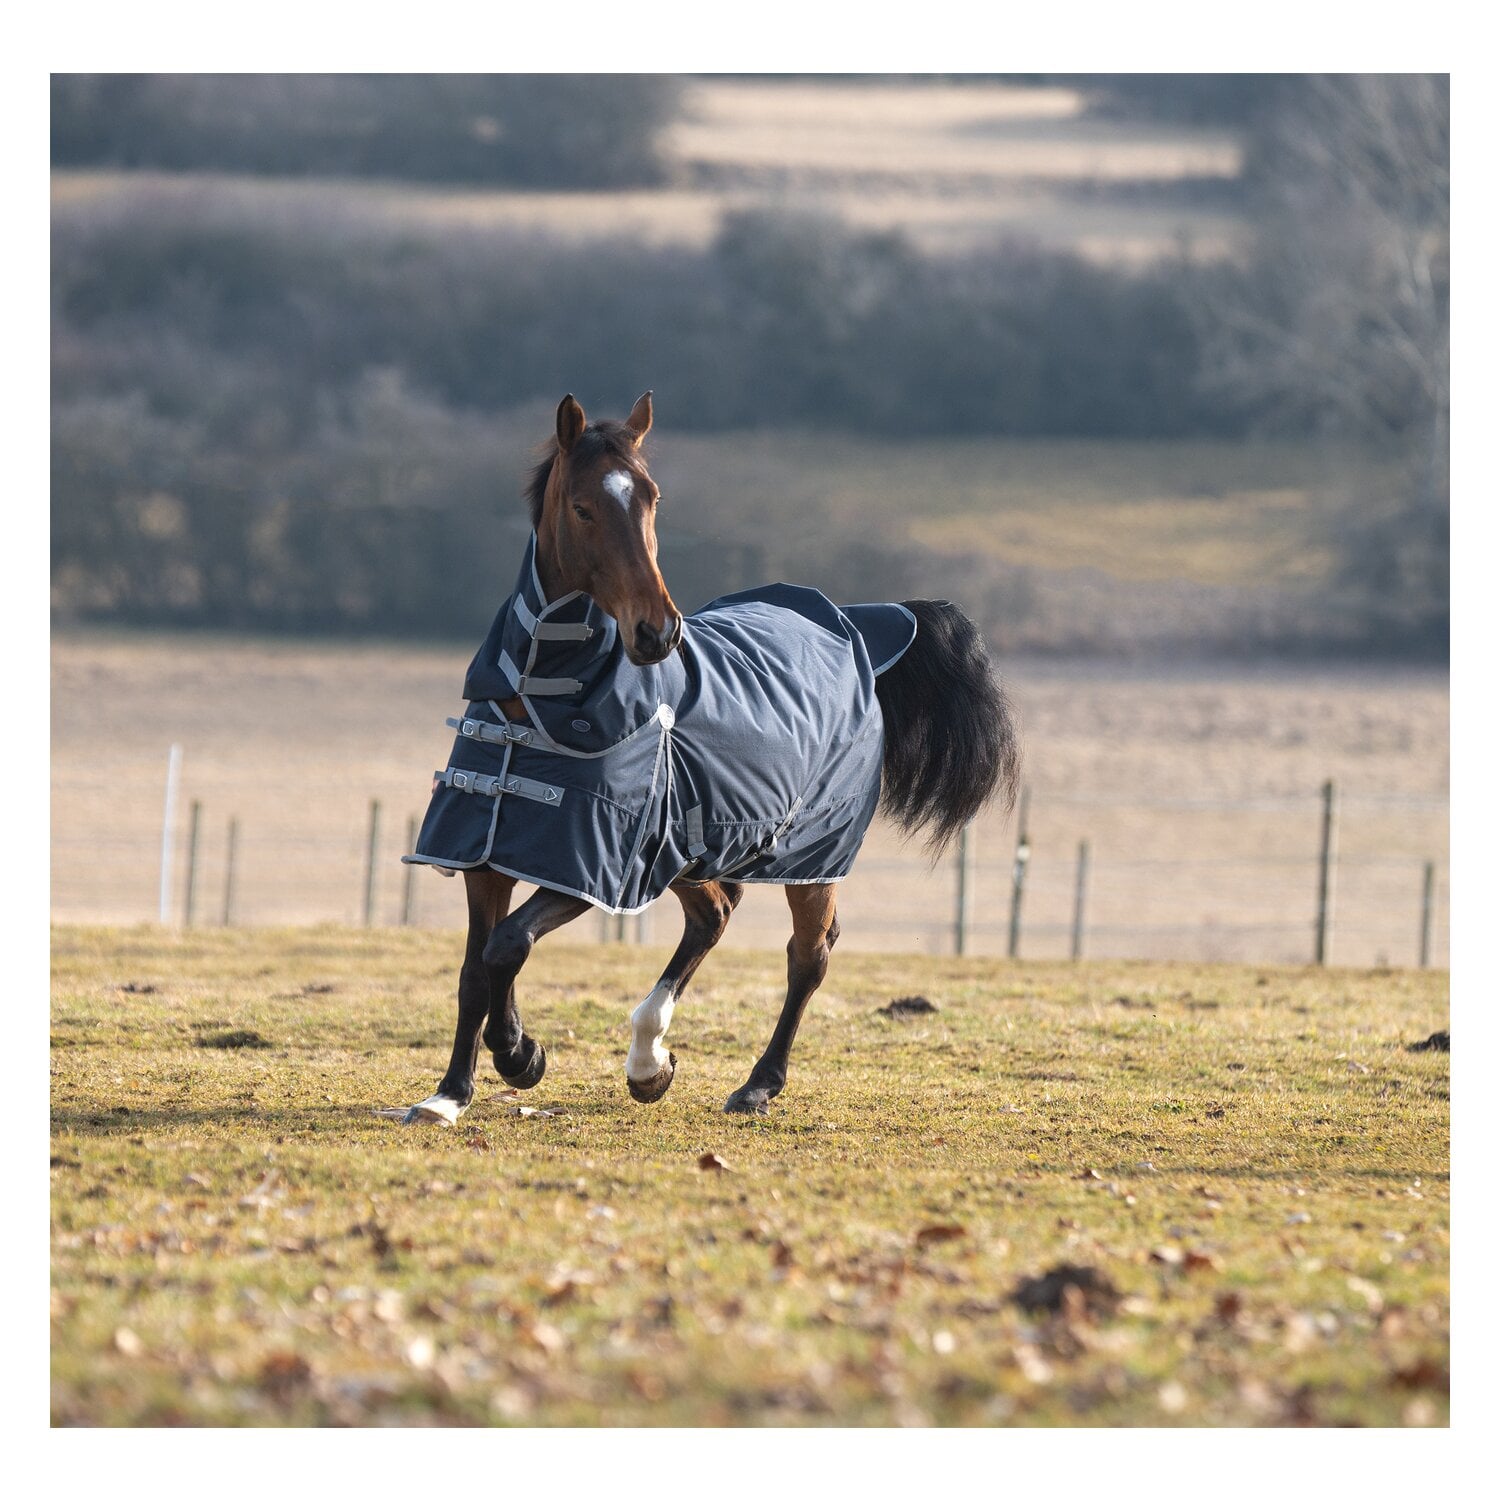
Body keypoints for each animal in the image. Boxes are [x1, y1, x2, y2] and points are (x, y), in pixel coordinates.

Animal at [397, 391, 1019, 1122]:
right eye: (582, 507)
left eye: (652, 500)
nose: (658, 631)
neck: (540, 697)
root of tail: (856, 626)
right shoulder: (489, 850)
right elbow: (477, 967)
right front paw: (450, 1092)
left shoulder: (598, 866)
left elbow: (508, 945)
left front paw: (521, 1055)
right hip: (692, 849)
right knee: (715, 916)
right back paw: (649, 1063)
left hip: (807, 856)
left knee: (808, 955)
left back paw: (755, 1083)